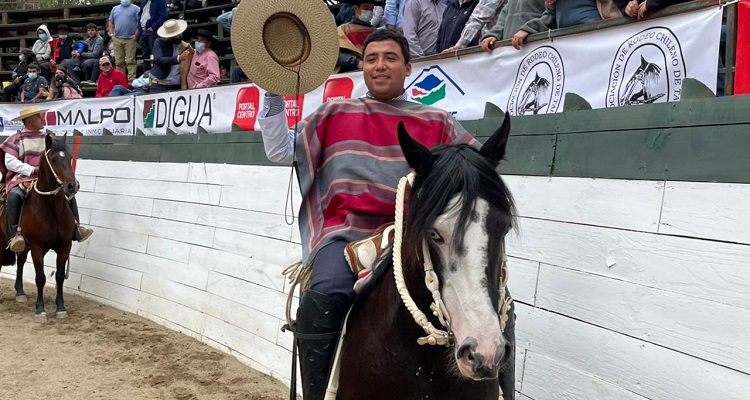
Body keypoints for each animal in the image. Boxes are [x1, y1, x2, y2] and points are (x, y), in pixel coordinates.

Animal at [0, 136, 78, 320]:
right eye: (54, 159)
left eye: (70, 157)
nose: (72, 186)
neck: (51, 209)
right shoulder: (37, 248)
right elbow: (40, 278)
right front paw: (40, 309)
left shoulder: (65, 245)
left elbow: (59, 276)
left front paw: (60, 308)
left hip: (24, 245)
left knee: (21, 262)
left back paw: (20, 293)